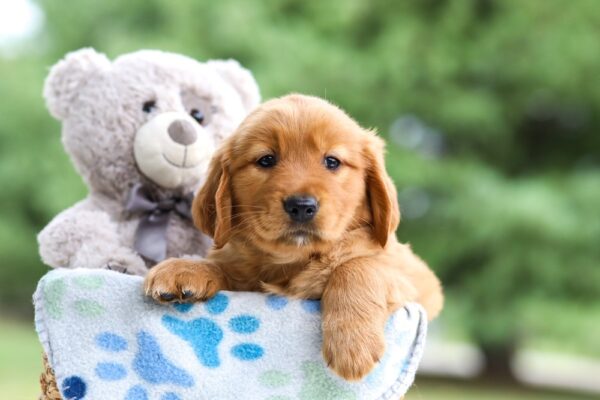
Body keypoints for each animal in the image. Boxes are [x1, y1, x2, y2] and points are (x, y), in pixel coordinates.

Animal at [144, 94, 446, 382]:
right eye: (266, 159)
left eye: (332, 161)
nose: (301, 206)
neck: (294, 260)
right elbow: (224, 266)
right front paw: (184, 268)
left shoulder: (416, 281)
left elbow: (358, 266)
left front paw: (352, 346)